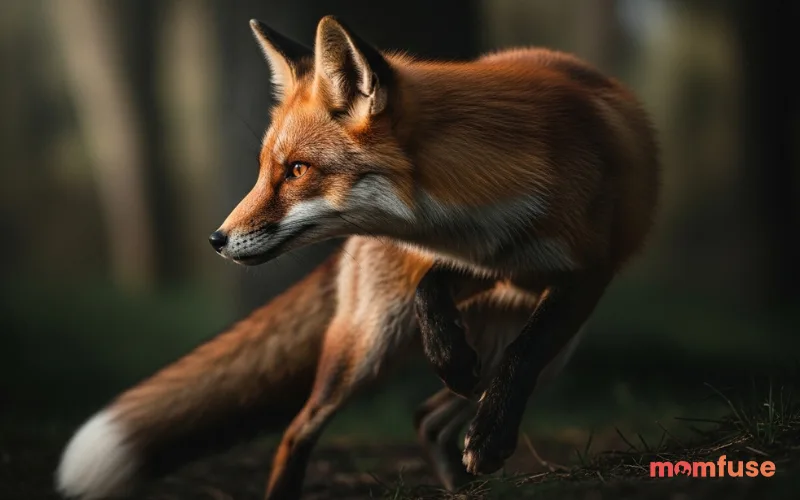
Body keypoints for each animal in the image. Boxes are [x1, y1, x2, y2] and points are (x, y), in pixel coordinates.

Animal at [56, 14, 659, 500]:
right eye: (265, 170)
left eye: (297, 170)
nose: (217, 239)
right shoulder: (477, 261)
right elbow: (430, 290)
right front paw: (449, 359)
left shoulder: (578, 274)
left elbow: (522, 354)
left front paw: (487, 433)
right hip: (365, 343)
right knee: (300, 428)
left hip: (552, 348)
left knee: (433, 414)